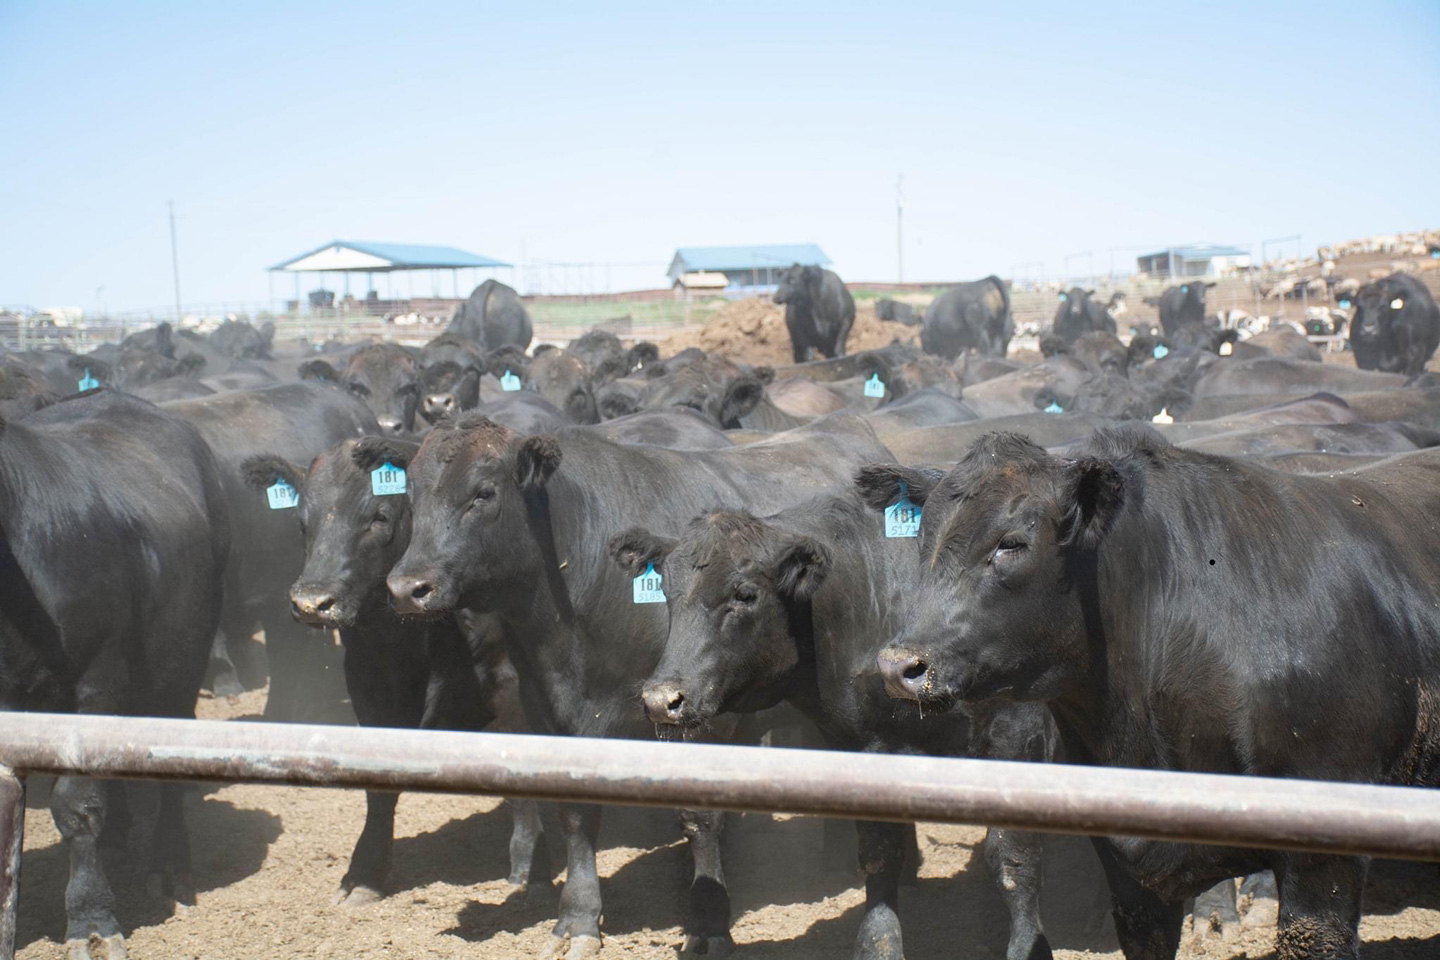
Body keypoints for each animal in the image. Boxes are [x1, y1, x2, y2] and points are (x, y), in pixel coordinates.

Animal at [241, 440, 544, 903]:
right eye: (302, 522)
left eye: (378, 517)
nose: (312, 602)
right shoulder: (368, 690)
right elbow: (378, 791)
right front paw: (364, 874)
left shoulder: (512, 686)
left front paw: (528, 864)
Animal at [388, 414, 892, 960]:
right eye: (411, 494)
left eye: (483, 492)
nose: (407, 588)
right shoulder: (550, 713)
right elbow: (576, 817)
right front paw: (578, 918)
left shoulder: (700, 714)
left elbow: (699, 817)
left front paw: (709, 922)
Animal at [613, 495, 1054, 960]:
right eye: (667, 593)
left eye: (745, 593)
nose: (661, 699)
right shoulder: (865, 742)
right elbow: (880, 851)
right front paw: (879, 943)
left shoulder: (1017, 731)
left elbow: (1012, 856)